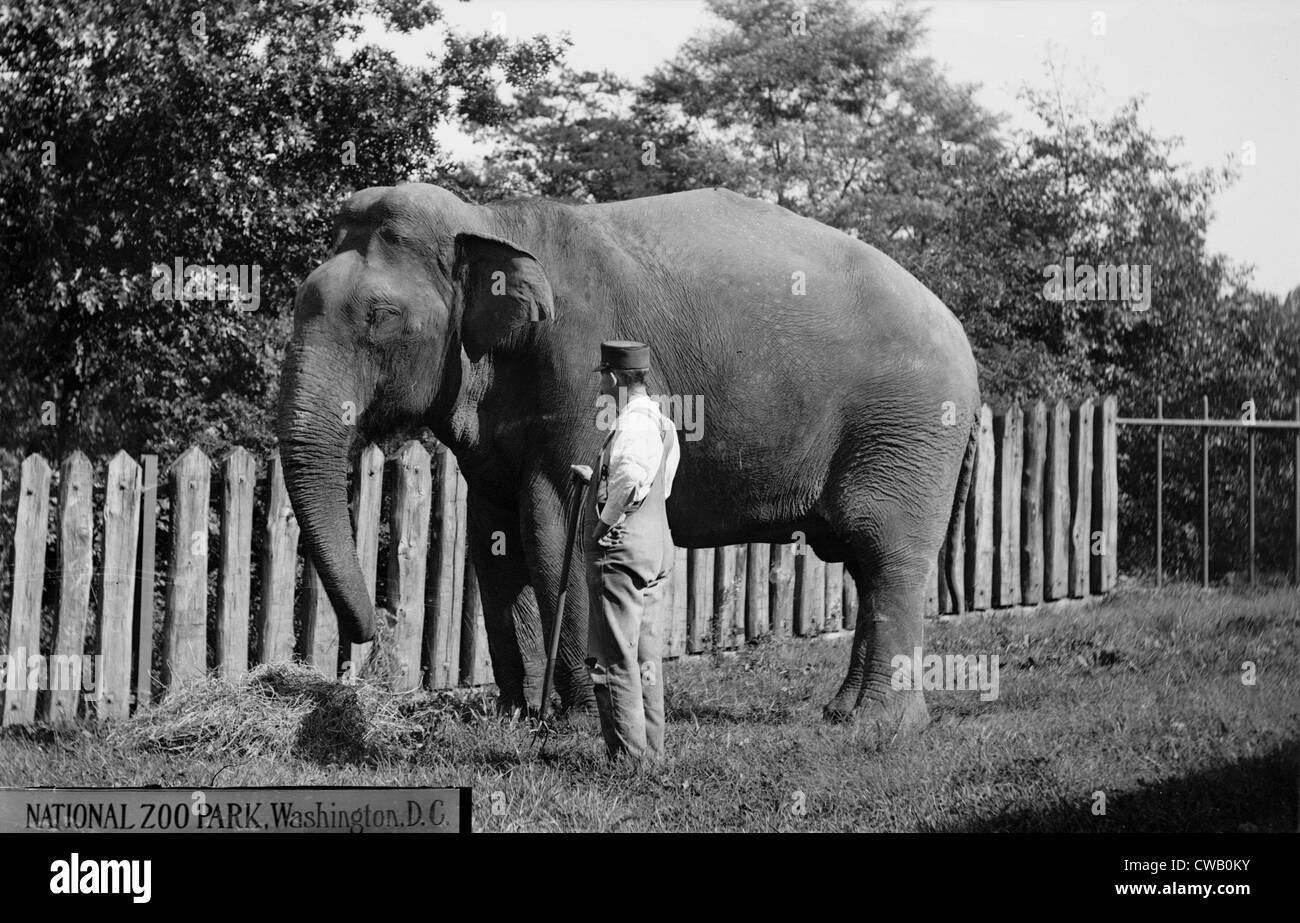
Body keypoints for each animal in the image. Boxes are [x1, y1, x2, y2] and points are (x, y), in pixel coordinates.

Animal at [279, 180, 977, 728]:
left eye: (379, 316)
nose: (366, 638)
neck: (492, 221)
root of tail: (960, 333)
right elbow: (493, 538)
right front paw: (518, 716)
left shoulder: (580, 372)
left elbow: (558, 523)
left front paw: (577, 719)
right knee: (864, 559)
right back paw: (840, 712)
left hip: (907, 427)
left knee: (885, 553)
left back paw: (881, 723)